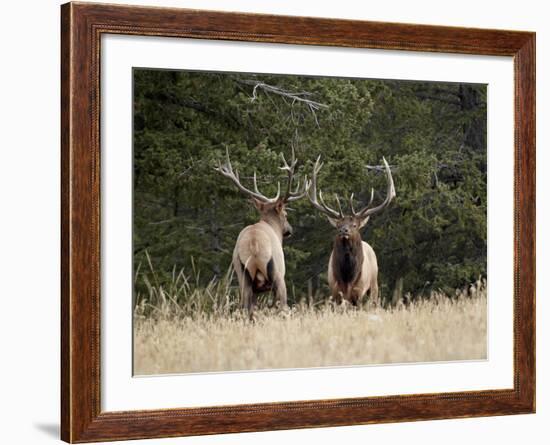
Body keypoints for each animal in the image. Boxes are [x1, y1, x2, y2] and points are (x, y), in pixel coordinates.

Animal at [217, 147, 310, 318]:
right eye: (285, 214)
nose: (289, 230)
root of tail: (253, 244)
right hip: (278, 274)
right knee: (282, 306)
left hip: (243, 276)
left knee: (247, 309)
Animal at [310, 156, 396, 306]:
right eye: (338, 225)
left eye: (354, 225)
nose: (343, 230)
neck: (347, 279)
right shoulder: (335, 291)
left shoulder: (359, 292)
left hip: (374, 284)